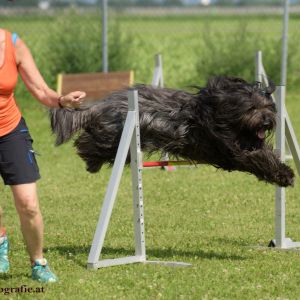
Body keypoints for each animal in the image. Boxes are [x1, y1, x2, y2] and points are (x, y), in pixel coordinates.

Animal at [49, 76, 296, 186]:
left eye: (267, 107)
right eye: (252, 108)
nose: (267, 122)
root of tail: (100, 105)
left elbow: (265, 154)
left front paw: (285, 171)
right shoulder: (229, 148)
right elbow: (259, 159)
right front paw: (284, 176)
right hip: (114, 133)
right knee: (90, 143)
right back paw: (90, 161)